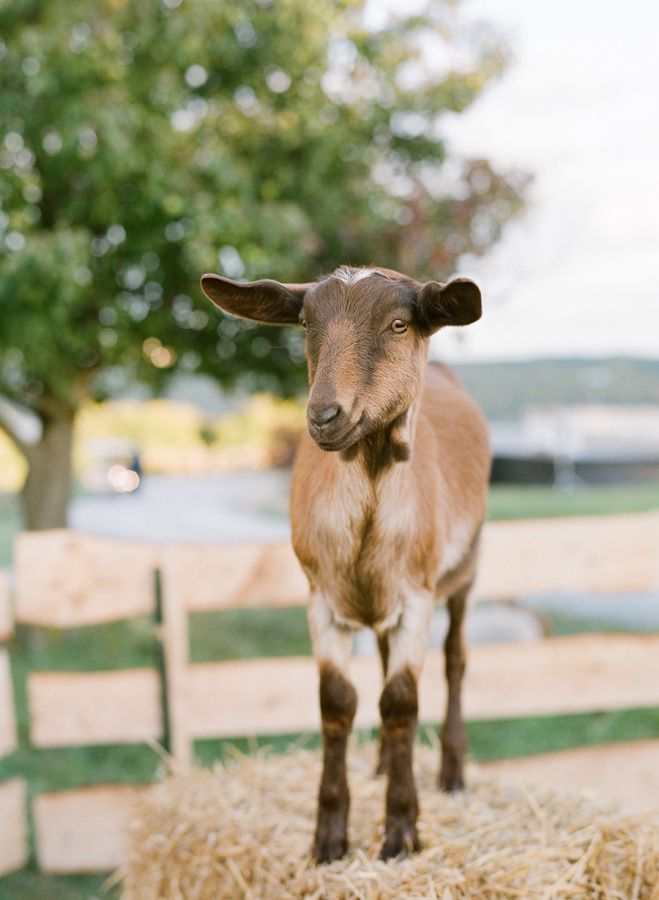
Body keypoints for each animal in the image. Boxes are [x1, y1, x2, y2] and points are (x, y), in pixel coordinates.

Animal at [201, 265, 490, 862]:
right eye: (307, 322)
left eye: (400, 323)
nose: (324, 415)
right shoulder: (321, 598)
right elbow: (338, 702)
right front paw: (330, 837)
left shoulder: (417, 595)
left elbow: (402, 702)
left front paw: (400, 833)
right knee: (380, 662)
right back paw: (380, 764)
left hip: (467, 568)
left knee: (455, 659)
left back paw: (452, 773)